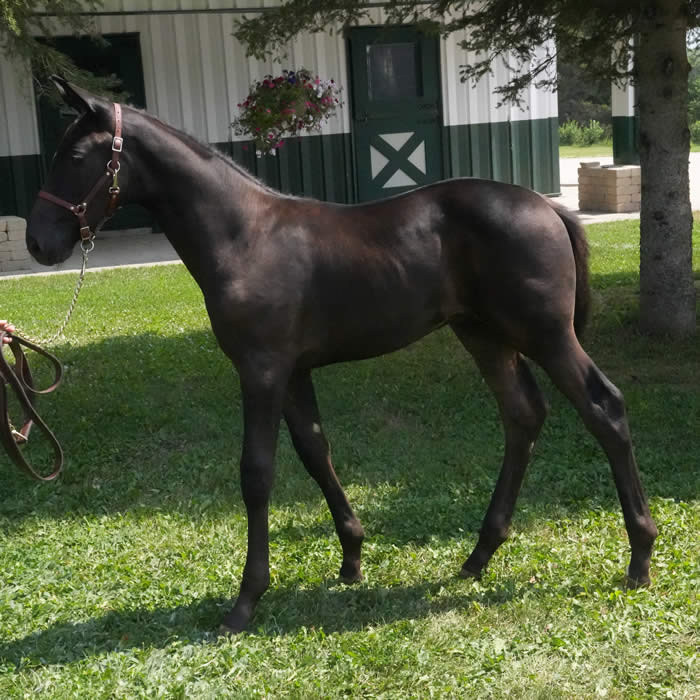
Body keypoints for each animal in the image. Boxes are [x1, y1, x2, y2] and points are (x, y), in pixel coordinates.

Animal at [24, 77, 657, 634]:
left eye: (76, 155)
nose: (37, 242)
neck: (242, 234)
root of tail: (550, 209)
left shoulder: (261, 370)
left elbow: (257, 472)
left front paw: (246, 600)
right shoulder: (293, 372)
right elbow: (315, 452)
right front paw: (351, 557)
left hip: (546, 334)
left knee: (604, 407)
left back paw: (640, 557)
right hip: (483, 335)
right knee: (523, 415)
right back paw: (479, 555)